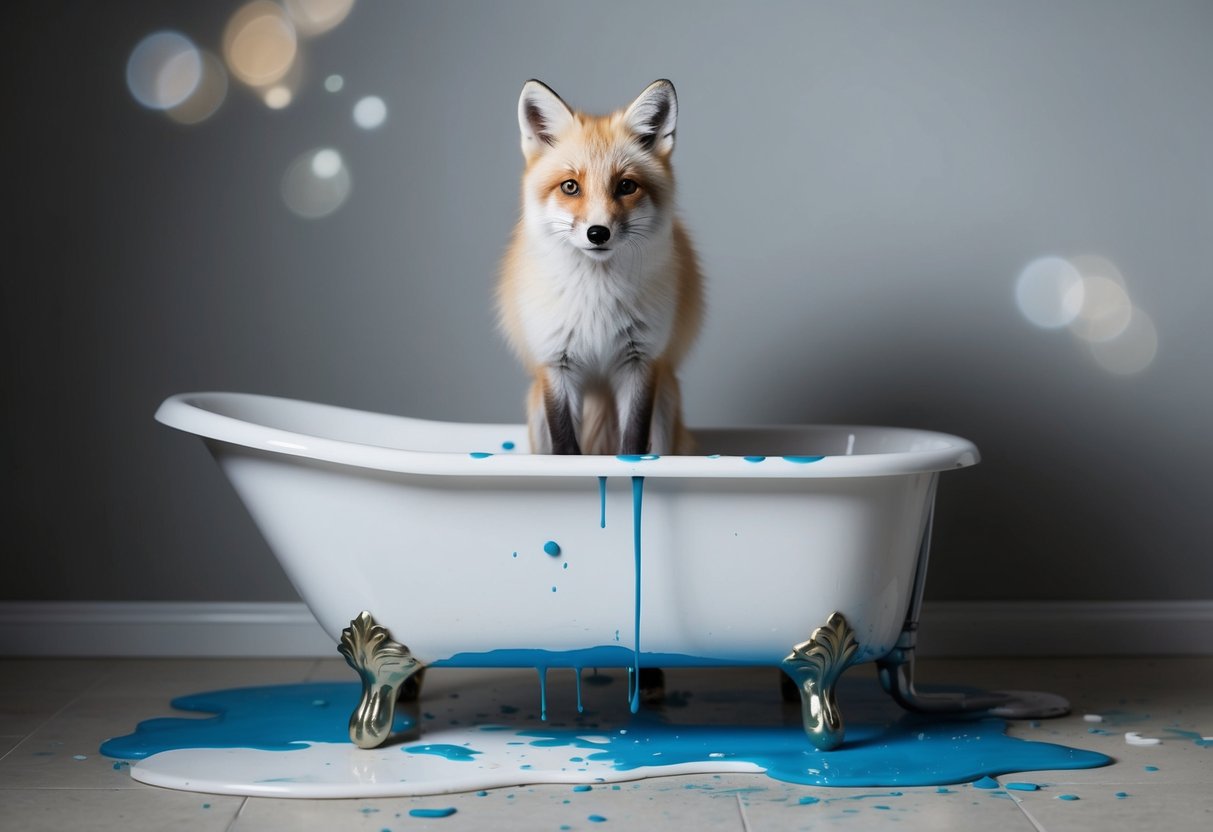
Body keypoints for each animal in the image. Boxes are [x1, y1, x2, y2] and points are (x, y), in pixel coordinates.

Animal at [497, 79, 704, 456]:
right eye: (570, 186)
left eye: (626, 185)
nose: (598, 233)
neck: (596, 295)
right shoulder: (556, 364)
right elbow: (566, 446)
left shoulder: (641, 361)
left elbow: (633, 442)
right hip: (535, 406)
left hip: (666, 397)